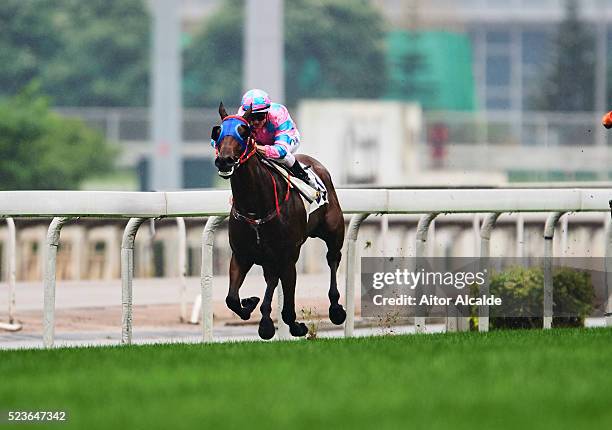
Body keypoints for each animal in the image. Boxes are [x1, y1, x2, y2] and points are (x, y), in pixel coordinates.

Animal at [212, 101, 346, 340]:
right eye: (217, 131)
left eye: (244, 131)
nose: (224, 160)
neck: (255, 208)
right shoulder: (241, 255)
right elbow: (232, 299)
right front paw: (250, 303)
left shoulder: (288, 256)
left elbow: (288, 308)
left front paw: (297, 326)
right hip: (268, 257)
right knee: (272, 278)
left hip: (333, 231)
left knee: (333, 259)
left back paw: (336, 309)